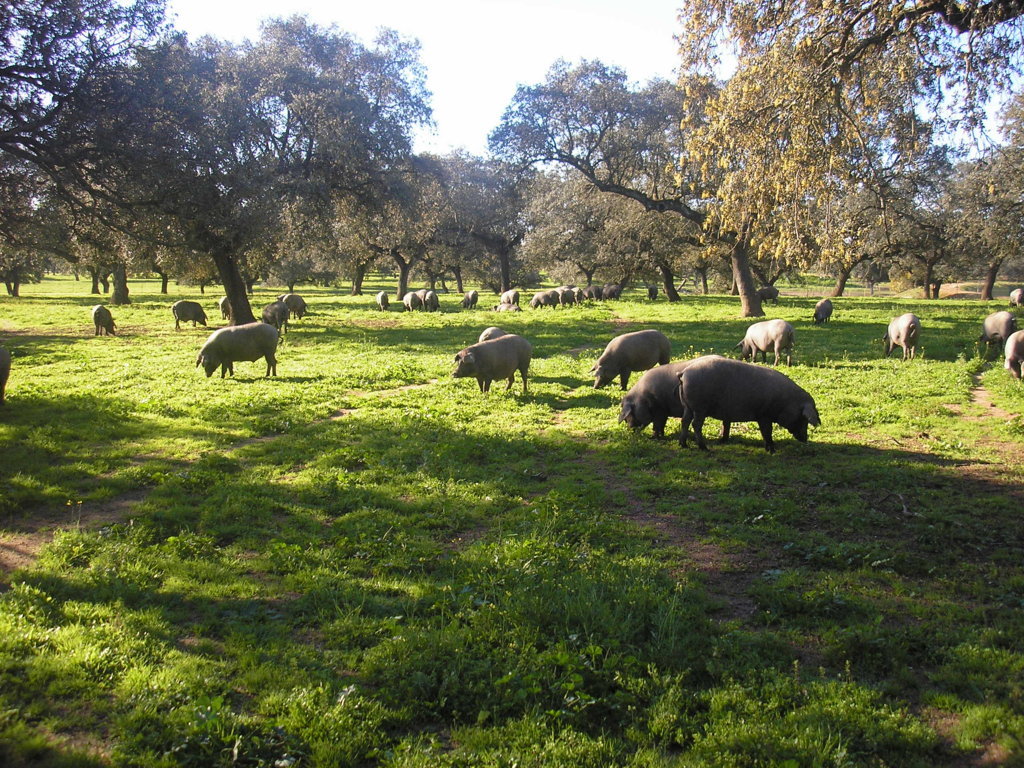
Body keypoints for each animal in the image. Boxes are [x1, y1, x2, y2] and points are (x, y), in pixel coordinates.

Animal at [679, 358, 823, 454]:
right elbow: (767, 432)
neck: (786, 401)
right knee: (695, 424)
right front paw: (772, 451)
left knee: (684, 421)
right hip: (699, 408)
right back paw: (704, 448)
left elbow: (765, 433)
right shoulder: (764, 415)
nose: (805, 439)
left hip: (688, 407)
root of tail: (684, 372)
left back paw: (683, 445)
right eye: (803, 418)